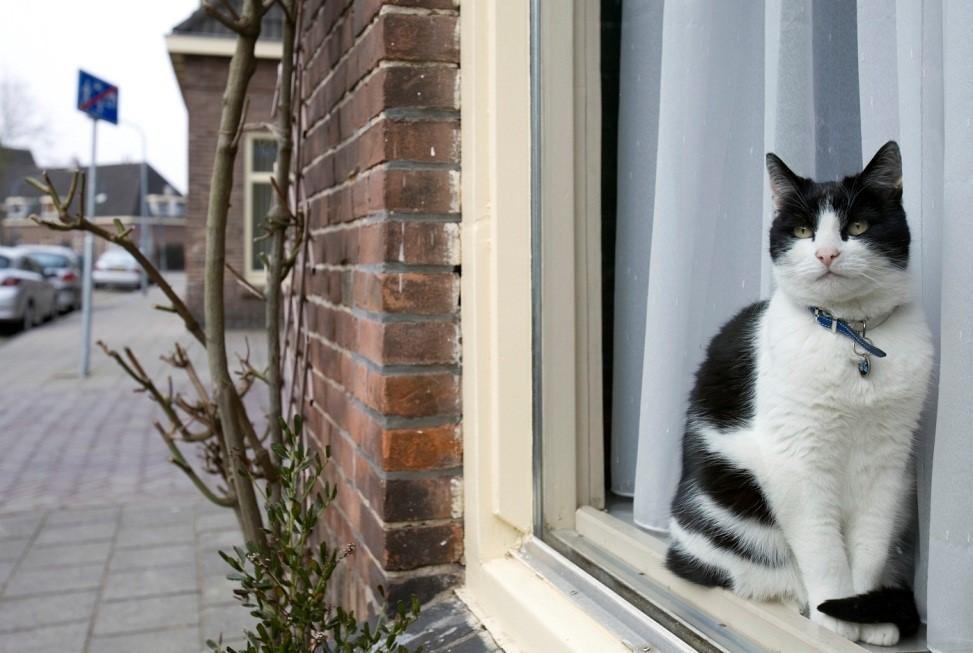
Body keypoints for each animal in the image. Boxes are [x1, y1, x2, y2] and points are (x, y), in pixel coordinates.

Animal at [664, 140, 932, 644]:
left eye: (857, 227)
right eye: (804, 230)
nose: (826, 253)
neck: (851, 335)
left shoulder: (888, 463)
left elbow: (869, 546)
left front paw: (863, 613)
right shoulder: (798, 464)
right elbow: (824, 551)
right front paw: (835, 619)